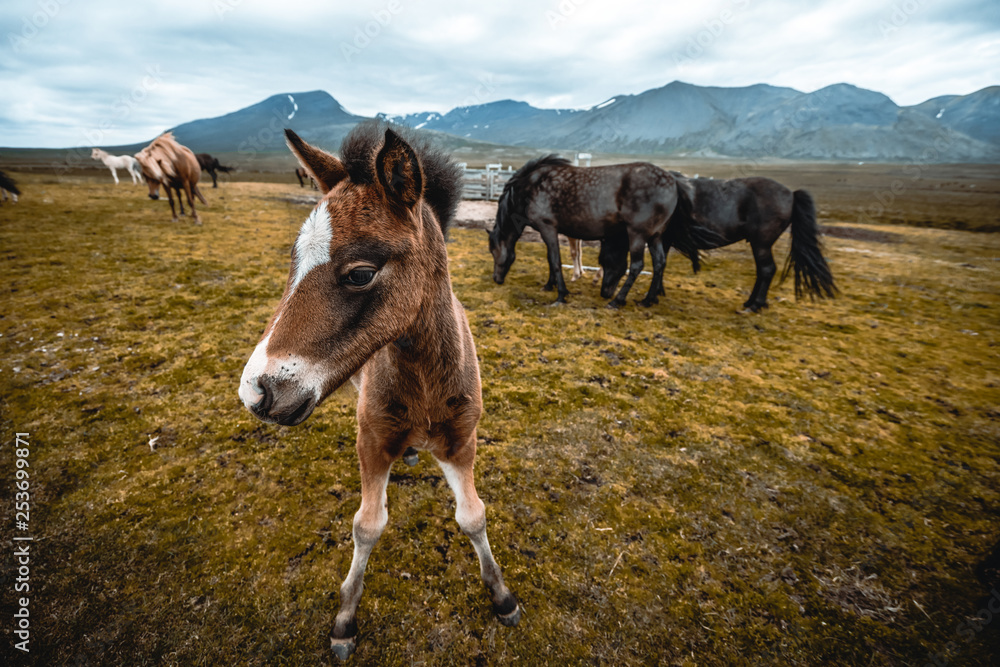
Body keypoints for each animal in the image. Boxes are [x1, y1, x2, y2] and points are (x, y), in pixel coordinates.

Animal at [238, 122, 520, 660]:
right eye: (293, 260)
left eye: (361, 273)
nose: (256, 392)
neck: (425, 384)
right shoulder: (370, 441)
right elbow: (367, 525)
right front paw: (345, 622)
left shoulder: (462, 441)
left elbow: (473, 516)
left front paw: (502, 596)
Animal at [592, 171, 836, 310]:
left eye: (604, 261)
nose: (604, 292)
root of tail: (791, 194)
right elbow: (661, 263)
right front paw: (656, 293)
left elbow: (659, 263)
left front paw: (654, 294)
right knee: (763, 271)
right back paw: (751, 302)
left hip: (761, 243)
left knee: (767, 269)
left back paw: (755, 305)